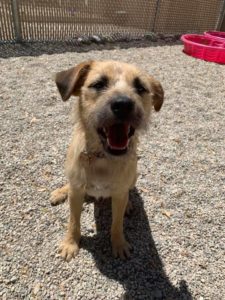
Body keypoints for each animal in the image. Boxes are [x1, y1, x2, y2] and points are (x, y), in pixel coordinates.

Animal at [50, 60, 163, 260]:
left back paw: (129, 204)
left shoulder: (118, 194)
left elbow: (116, 224)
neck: (102, 158)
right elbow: (73, 221)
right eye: (99, 84)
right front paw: (70, 243)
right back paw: (60, 192)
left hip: (133, 177)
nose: (123, 105)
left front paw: (119, 244)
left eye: (140, 87)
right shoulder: (77, 192)